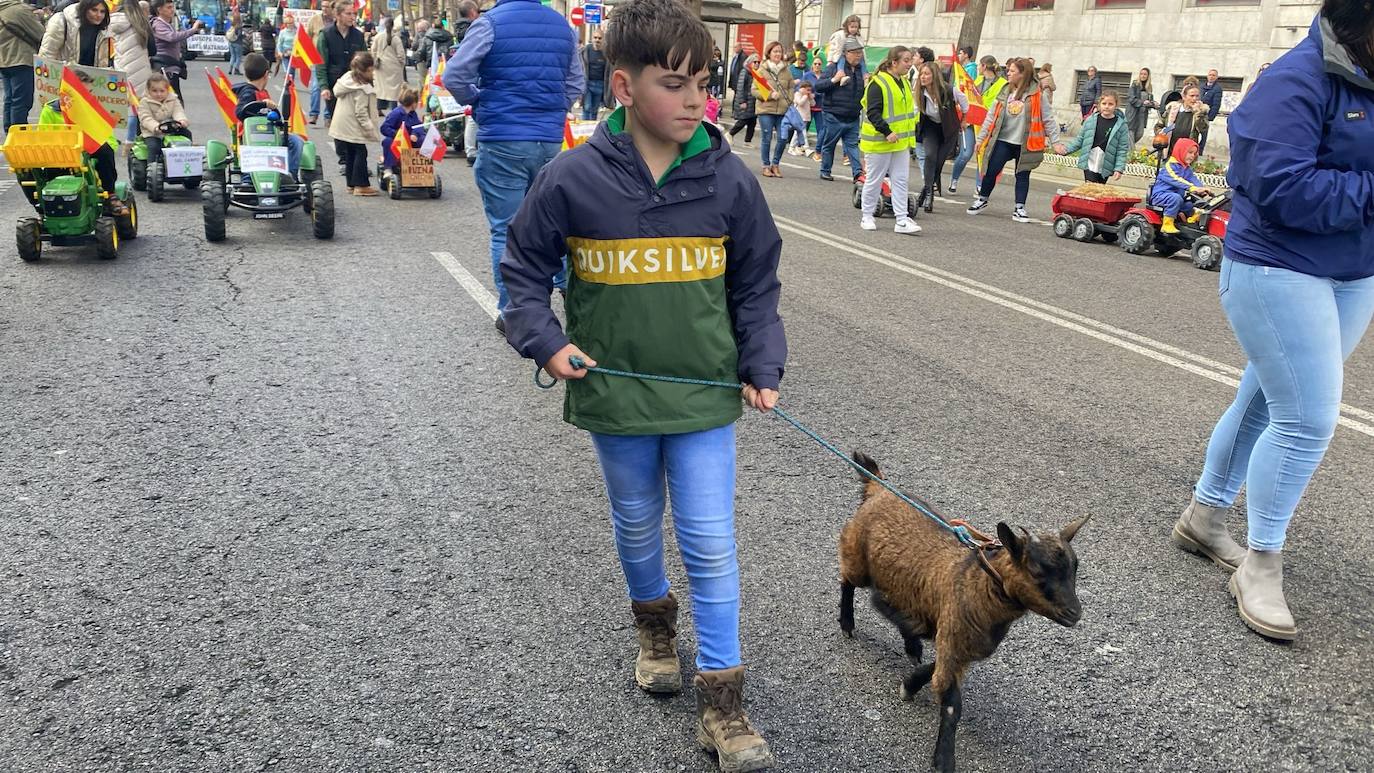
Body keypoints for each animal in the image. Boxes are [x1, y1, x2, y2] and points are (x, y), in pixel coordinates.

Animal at [829, 453, 1088, 773]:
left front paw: (911, 681)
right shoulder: (949, 630)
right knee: (848, 581)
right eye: (1038, 571)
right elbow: (952, 703)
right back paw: (849, 622)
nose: (1074, 613)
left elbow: (936, 667)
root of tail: (879, 487)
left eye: (1075, 568)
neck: (977, 581)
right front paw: (943, 759)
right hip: (857, 554)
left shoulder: (960, 641)